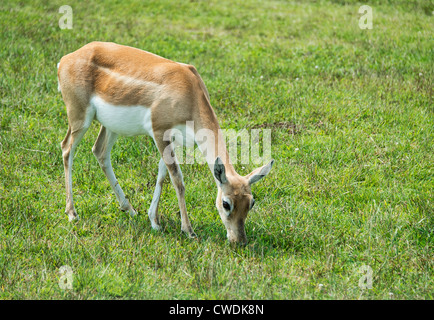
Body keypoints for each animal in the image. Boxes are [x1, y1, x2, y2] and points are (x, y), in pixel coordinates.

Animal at [57, 42, 272, 242]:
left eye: (251, 203)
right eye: (226, 203)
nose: (239, 240)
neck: (189, 91)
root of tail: (66, 58)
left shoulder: (174, 140)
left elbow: (162, 175)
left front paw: (154, 221)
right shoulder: (159, 132)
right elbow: (177, 179)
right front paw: (188, 230)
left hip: (111, 127)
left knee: (100, 151)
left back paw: (130, 209)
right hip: (79, 118)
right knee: (67, 148)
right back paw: (72, 213)